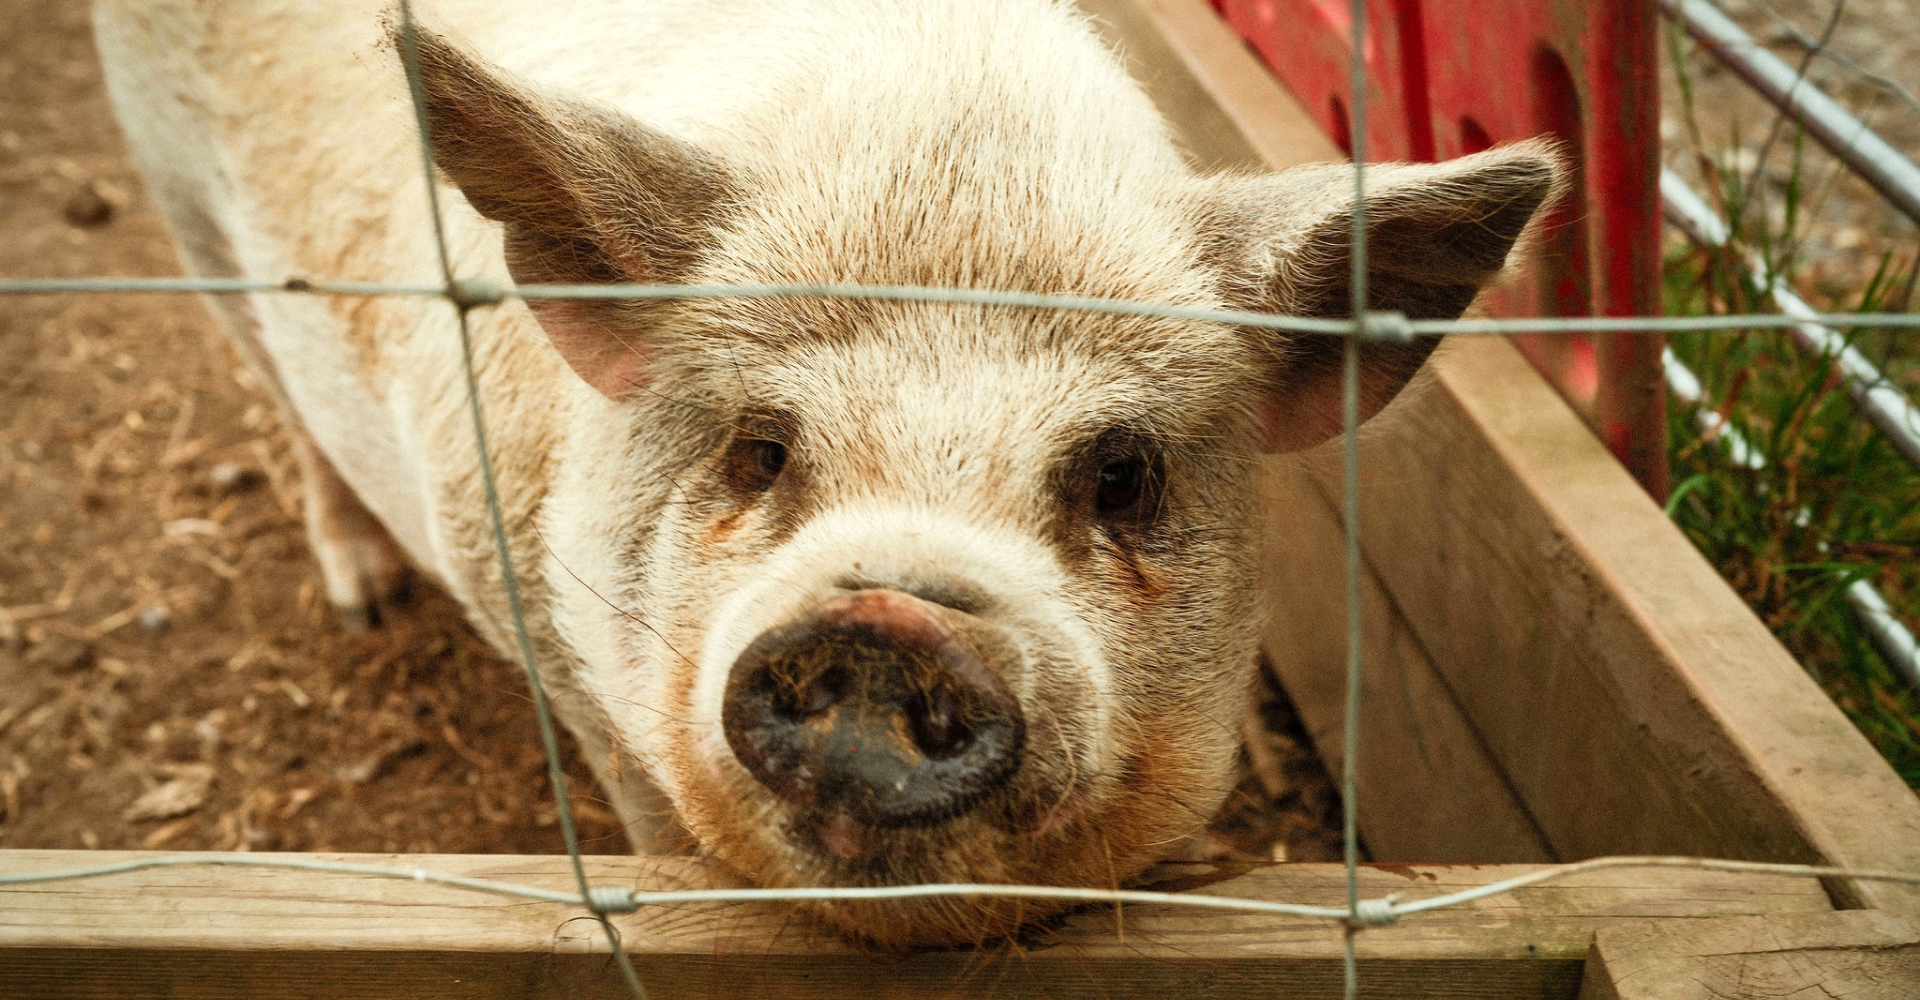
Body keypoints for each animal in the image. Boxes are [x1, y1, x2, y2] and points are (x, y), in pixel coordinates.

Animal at [95, 0, 1560, 947]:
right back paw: (362, 594)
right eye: (761, 446)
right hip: (186, 213)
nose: (887, 619)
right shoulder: (512, 581)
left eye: (1121, 474)